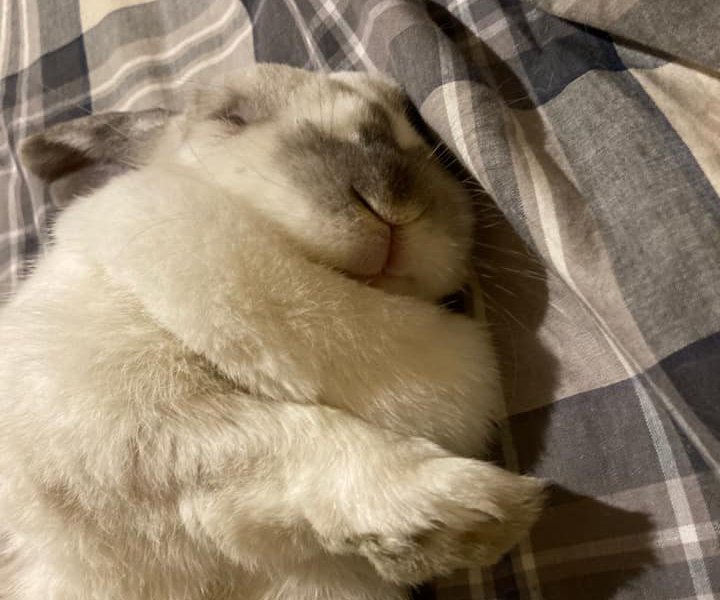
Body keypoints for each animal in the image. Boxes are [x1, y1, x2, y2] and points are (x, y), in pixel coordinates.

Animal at [0, 64, 543, 600]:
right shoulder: (120, 430)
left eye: (409, 119)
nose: (391, 199)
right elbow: (280, 435)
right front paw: (479, 508)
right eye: (230, 116)